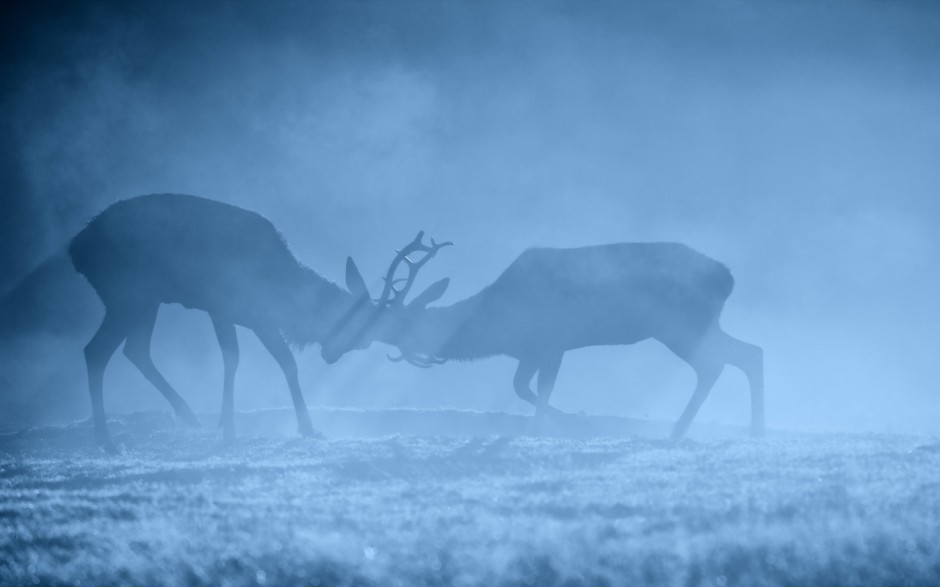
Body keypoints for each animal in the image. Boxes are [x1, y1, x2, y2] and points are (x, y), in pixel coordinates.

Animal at [70, 195, 374, 452]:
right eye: (354, 329)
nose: (330, 355)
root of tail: (76, 251)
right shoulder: (223, 309)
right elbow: (234, 358)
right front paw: (228, 430)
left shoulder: (258, 319)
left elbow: (285, 361)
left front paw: (309, 428)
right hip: (127, 297)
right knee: (96, 351)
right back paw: (106, 439)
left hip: (146, 301)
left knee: (135, 350)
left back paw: (187, 415)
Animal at [326, 234, 768, 440]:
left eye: (379, 321)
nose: (330, 351)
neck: (495, 322)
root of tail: (727, 277)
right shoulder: (531, 350)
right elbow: (523, 387)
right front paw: (570, 424)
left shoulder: (552, 342)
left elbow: (538, 389)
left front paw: (561, 428)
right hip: (699, 325)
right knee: (749, 352)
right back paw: (752, 429)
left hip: (680, 324)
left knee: (717, 363)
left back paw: (680, 431)